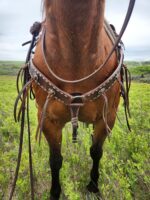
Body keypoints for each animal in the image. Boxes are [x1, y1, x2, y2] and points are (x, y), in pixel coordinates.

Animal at [10, 0, 135, 200]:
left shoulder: (107, 116)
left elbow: (96, 151)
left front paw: (93, 186)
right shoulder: (48, 119)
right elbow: (55, 160)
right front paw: (54, 193)